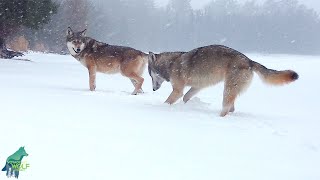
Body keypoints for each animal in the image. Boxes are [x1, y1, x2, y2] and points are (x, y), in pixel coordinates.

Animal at [149, 44, 298, 116]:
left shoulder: (178, 90)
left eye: (151, 75)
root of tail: (249, 61)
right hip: (230, 90)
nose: (153, 89)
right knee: (231, 108)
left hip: (227, 90)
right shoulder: (197, 86)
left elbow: (168, 101)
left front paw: (161, 108)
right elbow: (186, 97)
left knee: (226, 109)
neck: (171, 64)